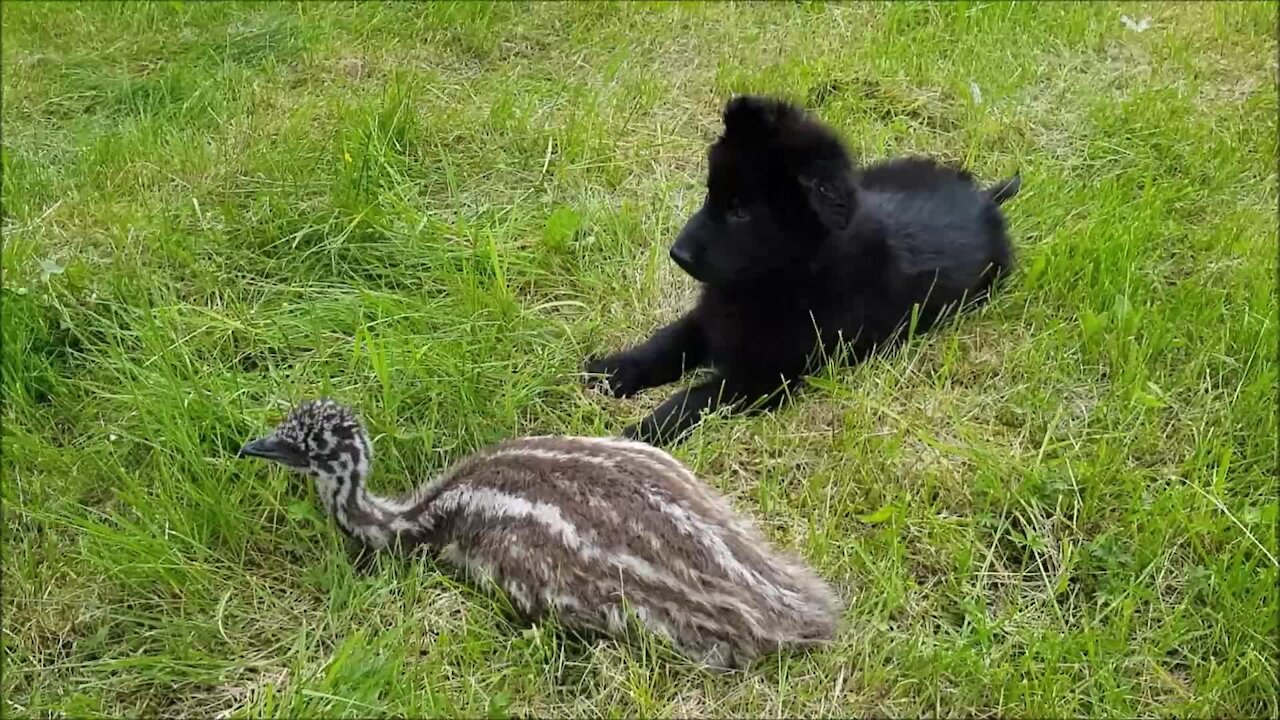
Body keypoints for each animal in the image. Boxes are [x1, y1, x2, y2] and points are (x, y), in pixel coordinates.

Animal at [586, 95, 1018, 443]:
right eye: (711, 195)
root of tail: (984, 198)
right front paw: (611, 371)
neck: (781, 278)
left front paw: (640, 433)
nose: (678, 254)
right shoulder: (709, 317)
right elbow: (667, 343)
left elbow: (694, 398)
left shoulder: (761, 379)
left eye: (741, 211)